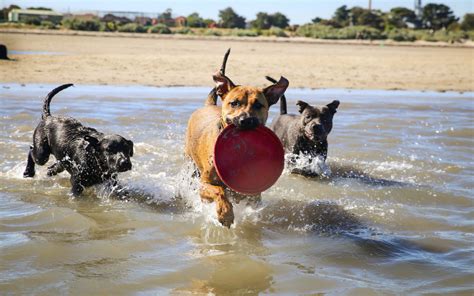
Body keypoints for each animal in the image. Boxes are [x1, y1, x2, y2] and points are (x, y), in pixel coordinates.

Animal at [185, 50, 288, 227]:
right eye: (234, 103)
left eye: (258, 105)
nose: (246, 120)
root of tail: (208, 105)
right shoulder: (204, 186)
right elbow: (218, 191)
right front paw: (225, 213)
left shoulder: (253, 194)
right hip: (190, 164)